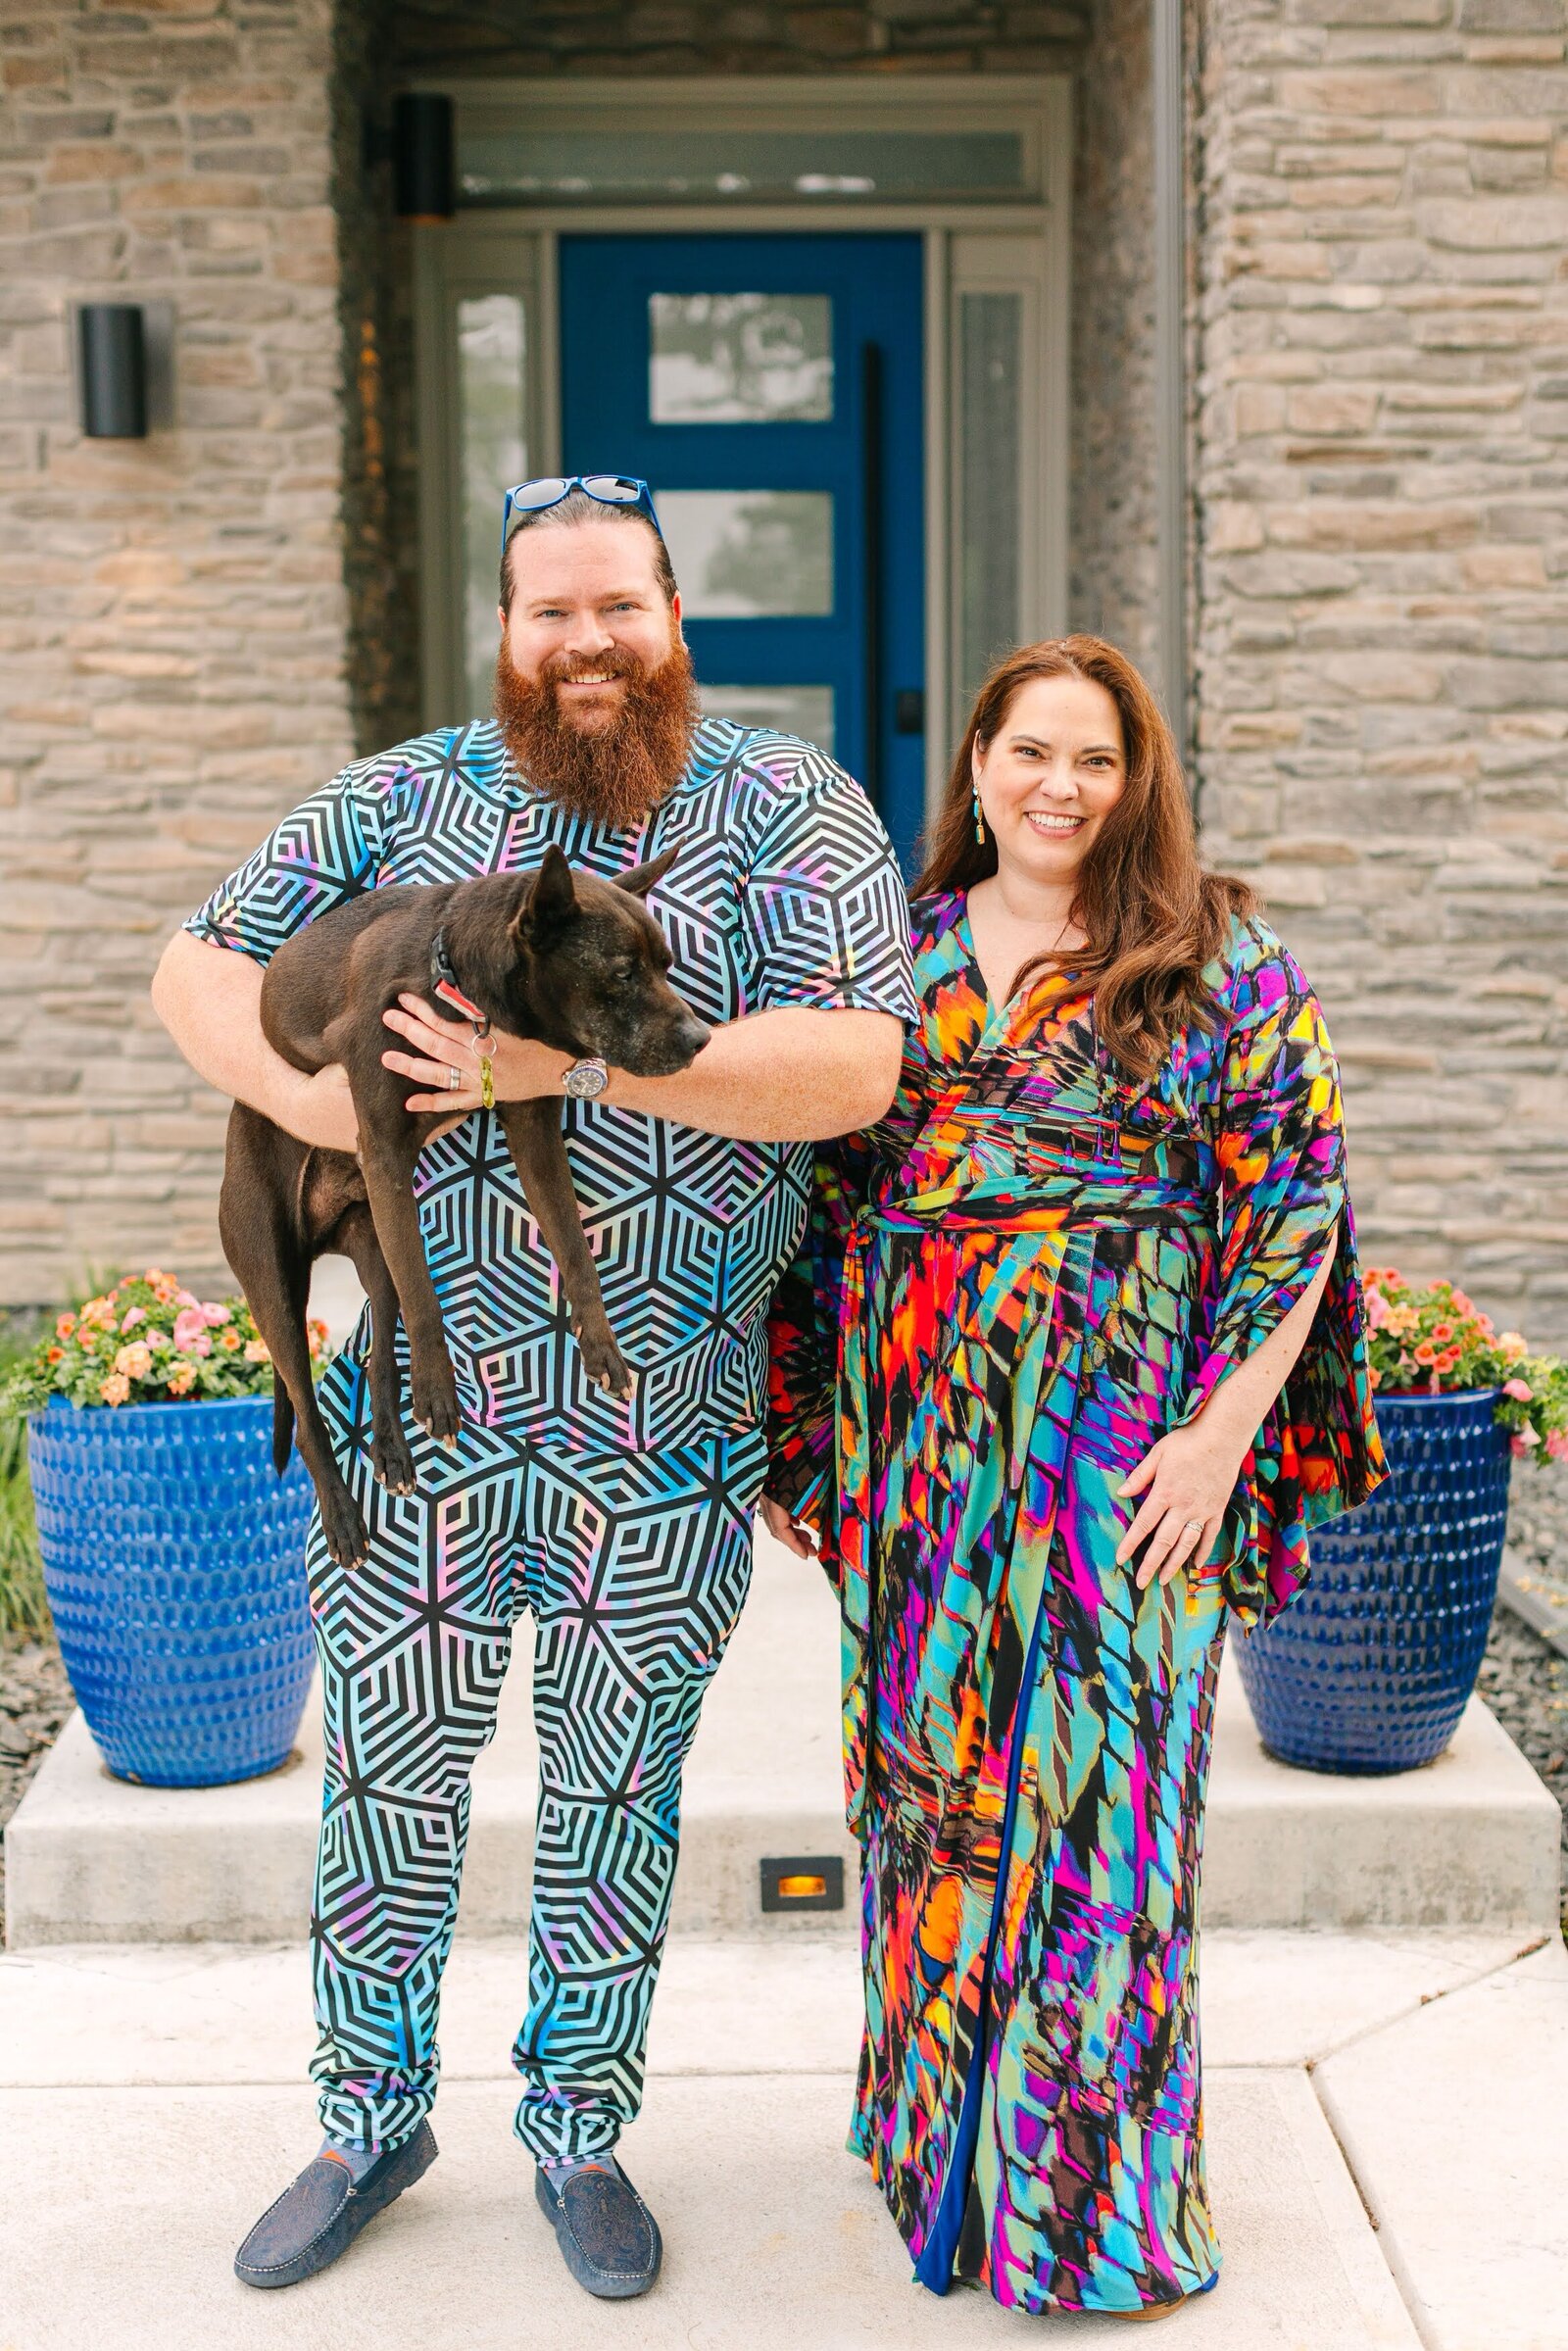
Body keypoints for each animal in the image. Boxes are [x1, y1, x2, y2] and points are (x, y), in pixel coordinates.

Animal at [217, 841, 710, 1560]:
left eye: (667, 966)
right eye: (621, 973)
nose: (703, 1041)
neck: (458, 982)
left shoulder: (532, 1130)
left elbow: (574, 1246)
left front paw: (600, 1345)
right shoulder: (385, 1152)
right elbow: (425, 1292)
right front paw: (438, 1393)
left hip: (374, 1244)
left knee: (379, 1352)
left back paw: (392, 1452)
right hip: (273, 1276)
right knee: (308, 1412)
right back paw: (344, 1518)